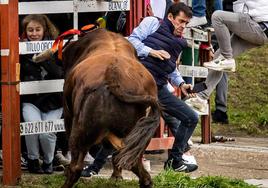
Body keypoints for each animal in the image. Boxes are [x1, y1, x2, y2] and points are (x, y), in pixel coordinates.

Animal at [60, 28, 160, 187]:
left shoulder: (68, 114)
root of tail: (113, 75)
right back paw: (146, 181)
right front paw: (117, 175)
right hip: (138, 134)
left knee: (77, 165)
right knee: (129, 158)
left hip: (80, 130)